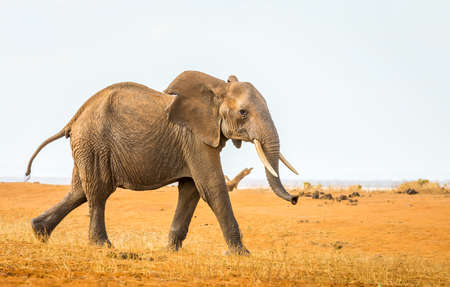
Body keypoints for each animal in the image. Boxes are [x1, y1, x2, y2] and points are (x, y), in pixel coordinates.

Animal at [25, 71, 298, 255]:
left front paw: (170, 250)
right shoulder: (194, 138)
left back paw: (39, 232)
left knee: (79, 191)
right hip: (94, 142)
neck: (216, 88)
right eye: (243, 113)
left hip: (87, 146)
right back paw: (103, 245)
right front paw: (241, 254)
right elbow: (211, 187)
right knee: (99, 191)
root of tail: (74, 118)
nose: (295, 199)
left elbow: (191, 189)